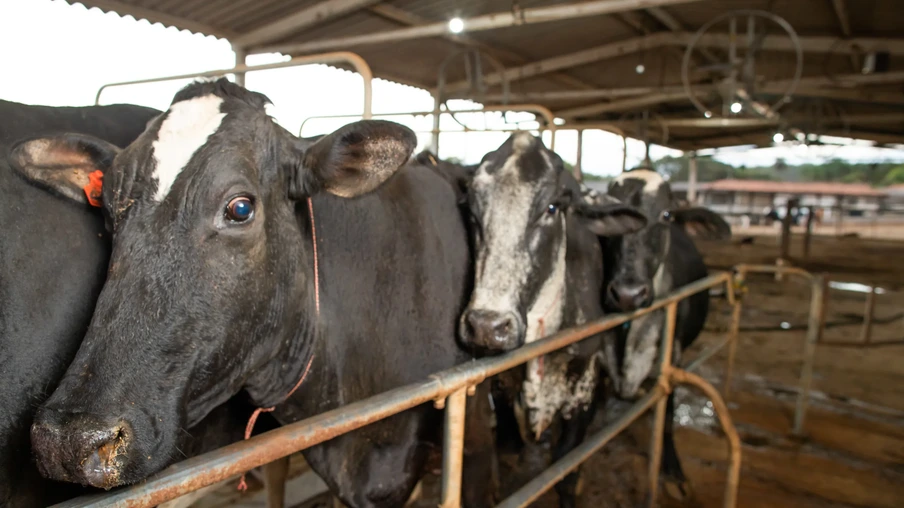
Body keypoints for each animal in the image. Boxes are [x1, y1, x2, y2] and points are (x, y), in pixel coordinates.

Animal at [602, 168, 730, 500]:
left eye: (666, 214)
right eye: (610, 216)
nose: (628, 294)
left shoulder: (672, 361)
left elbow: (669, 418)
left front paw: (672, 470)